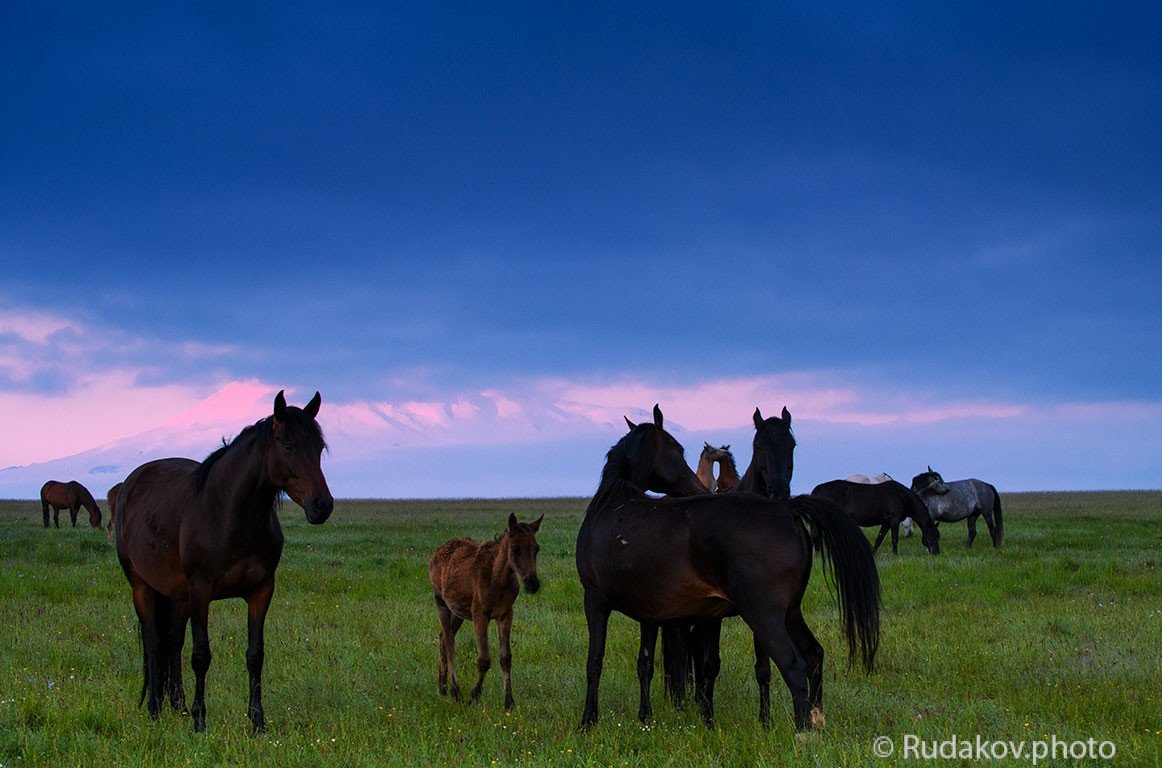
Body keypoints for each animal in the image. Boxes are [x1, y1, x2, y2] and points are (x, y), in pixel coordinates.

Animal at [115, 390, 334, 729]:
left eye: (319, 448)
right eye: (289, 445)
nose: (322, 505)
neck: (231, 517)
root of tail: (131, 483)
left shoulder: (261, 591)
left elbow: (255, 655)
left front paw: (257, 722)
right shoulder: (201, 591)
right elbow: (201, 655)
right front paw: (199, 721)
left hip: (178, 594)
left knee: (172, 640)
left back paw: (176, 705)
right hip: (142, 586)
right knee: (153, 642)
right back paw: (154, 708)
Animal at [432, 511, 543, 711]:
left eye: (536, 549)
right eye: (515, 549)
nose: (533, 584)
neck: (497, 579)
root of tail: (436, 552)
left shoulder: (505, 614)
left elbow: (505, 657)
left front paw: (509, 701)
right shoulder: (479, 615)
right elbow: (484, 659)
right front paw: (474, 695)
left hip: (458, 611)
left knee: (443, 637)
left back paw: (442, 686)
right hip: (441, 602)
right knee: (449, 641)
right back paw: (455, 690)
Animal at [576, 404, 873, 729]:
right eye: (678, 449)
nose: (695, 487)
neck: (613, 505)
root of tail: (787, 509)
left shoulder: (594, 599)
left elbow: (594, 661)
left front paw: (588, 720)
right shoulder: (650, 613)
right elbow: (646, 663)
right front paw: (646, 718)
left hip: (763, 614)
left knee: (794, 667)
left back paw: (802, 731)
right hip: (790, 612)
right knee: (814, 655)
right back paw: (817, 721)